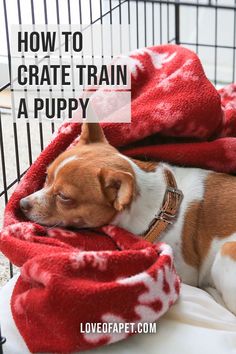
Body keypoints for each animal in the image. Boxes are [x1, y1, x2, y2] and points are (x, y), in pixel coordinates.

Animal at [19, 123, 236, 314]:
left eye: (64, 197)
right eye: (46, 177)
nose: (22, 203)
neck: (160, 207)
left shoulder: (186, 271)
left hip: (227, 250)